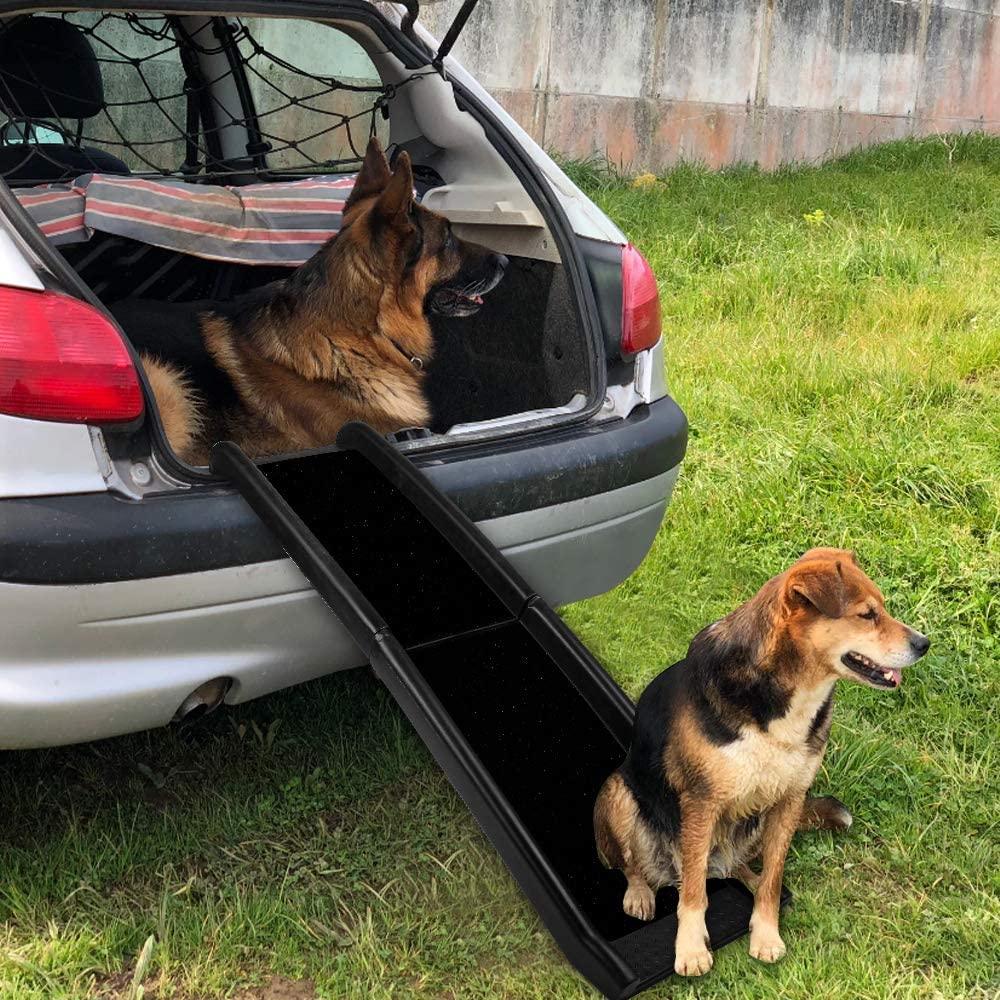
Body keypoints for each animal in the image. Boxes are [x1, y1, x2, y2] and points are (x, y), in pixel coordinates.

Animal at [592, 548, 928, 976]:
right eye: (867, 614)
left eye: (881, 608)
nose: (925, 643)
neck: (788, 692)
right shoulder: (701, 801)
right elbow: (694, 892)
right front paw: (690, 949)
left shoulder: (791, 798)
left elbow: (773, 876)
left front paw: (766, 933)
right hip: (618, 793)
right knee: (637, 866)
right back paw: (640, 894)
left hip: (755, 821)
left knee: (743, 867)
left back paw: (748, 879)